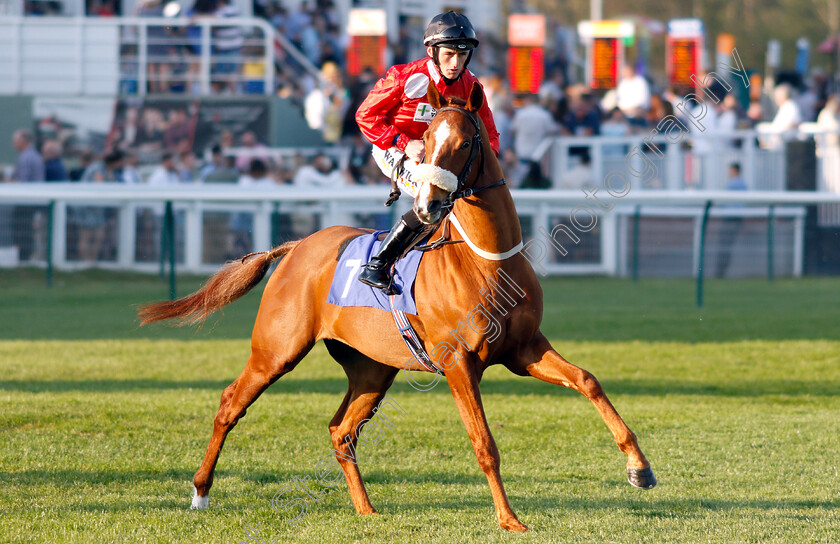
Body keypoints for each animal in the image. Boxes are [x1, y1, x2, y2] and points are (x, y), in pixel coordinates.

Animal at [141, 82, 656, 532]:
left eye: (466, 141)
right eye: (425, 140)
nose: (428, 205)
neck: (486, 259)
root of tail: (294, 247)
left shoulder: (523, 349)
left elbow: (587, 381)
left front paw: (640, 468)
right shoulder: (458, 361)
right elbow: (484, 443)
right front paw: (510, 519)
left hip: (372, 368)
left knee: (341, 430)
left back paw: (365, 508)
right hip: (277, 350)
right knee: (231, 404)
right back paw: (200, 491)